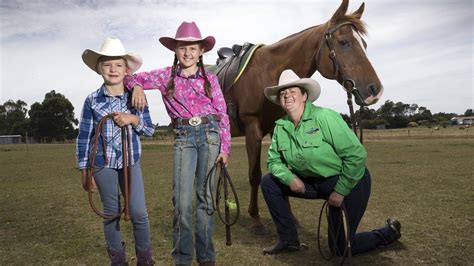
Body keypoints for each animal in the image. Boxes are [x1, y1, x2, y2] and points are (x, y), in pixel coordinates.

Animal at [221, 0, 382, 233]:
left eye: (365, 45)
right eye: (344, 42)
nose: (375, 90)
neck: (268, 72)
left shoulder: (277, 128)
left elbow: (284, 171)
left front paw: (291, 218)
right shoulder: (252, 129)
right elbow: (254, 175)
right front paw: (256, 219)